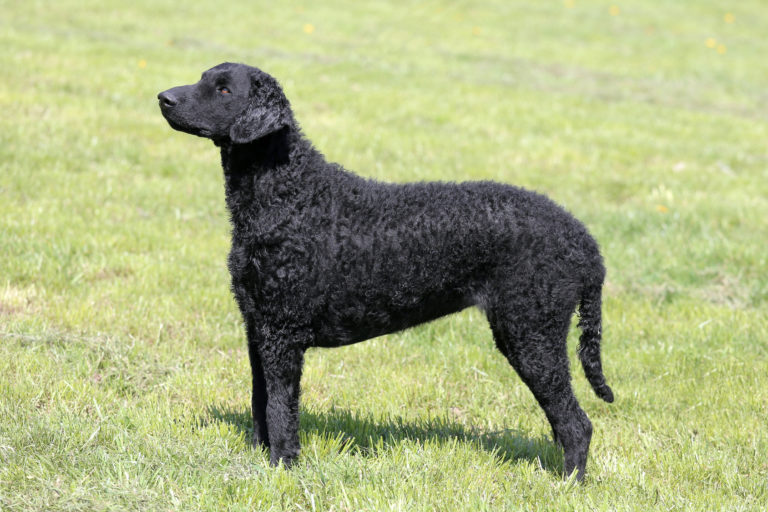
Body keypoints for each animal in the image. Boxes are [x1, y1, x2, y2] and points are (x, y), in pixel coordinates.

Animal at [159, 63, 616, 480]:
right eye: (203, 78)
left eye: (222, 89)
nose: (163, 97)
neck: (291, 195)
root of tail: (583, 239)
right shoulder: (257, 326)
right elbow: (260, 402)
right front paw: (259, 458)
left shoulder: (282, 333)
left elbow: (280, 408)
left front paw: (283, 467)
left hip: (531, 333)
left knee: (577, 424)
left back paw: (568, 485)